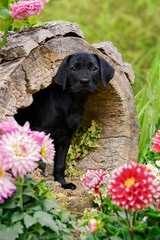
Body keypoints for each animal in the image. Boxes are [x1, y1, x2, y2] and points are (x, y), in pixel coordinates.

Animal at [15, 52, 114, 189]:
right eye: (73, 68)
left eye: (94, 68)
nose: (84, 81)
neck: (73, 102)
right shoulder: (42, 132)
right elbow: (41, 161)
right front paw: (41, 182)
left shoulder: (66, 137)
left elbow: (60, 164)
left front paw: (63, 183)